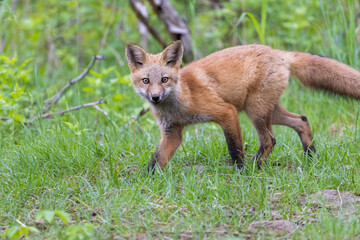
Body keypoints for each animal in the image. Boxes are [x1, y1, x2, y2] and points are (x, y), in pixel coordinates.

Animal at [125, 41, 358, 172]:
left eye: (165, 79)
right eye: (146, 81)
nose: (155, 97)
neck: (179, 103)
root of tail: (279, 53)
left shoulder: (226, 112)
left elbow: (234, 147)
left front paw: (240, 171)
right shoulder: (172, 132)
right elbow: (156, 160)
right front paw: (146, 180)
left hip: (256, 111)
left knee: (270, 140)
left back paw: (254, 167)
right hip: (266, 110)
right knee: (301, 120)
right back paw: (310, 156)